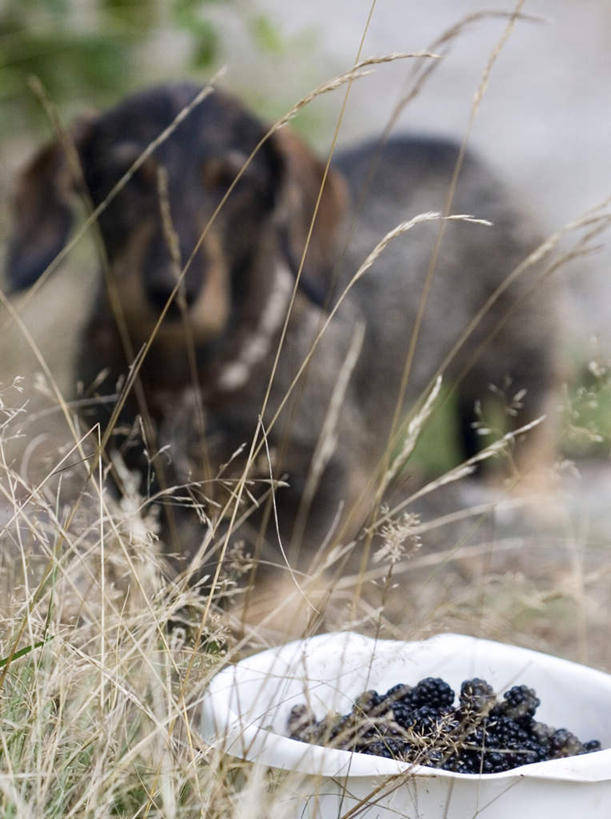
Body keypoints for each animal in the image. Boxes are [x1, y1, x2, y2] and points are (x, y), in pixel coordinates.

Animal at [5, 81, 560, 584]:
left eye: (235, 184)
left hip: (516, 352)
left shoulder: (322, 477)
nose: (173, 289)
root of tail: (459, 151)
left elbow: (277, 583)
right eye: (126, 176)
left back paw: (525, 494)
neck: (191, 378)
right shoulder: (135, 476)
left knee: (536, 414)